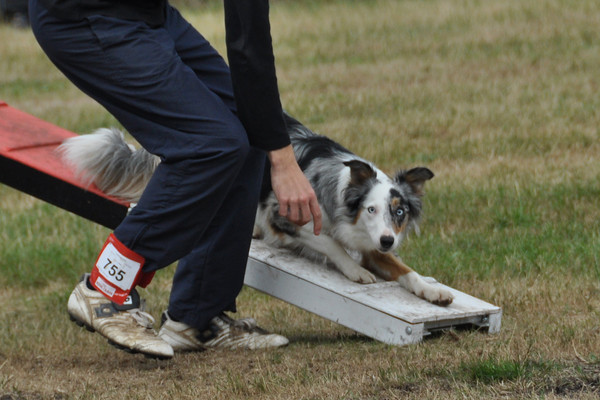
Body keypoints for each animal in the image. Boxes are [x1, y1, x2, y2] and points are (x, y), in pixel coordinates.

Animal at [61, 114, 452, 304]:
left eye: (399, 212)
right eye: (370, 209)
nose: (388, 240)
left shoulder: (371, 244)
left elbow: (406, 271)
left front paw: (433, 291)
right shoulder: (285, 215)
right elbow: (329, 242)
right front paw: (354, 271)